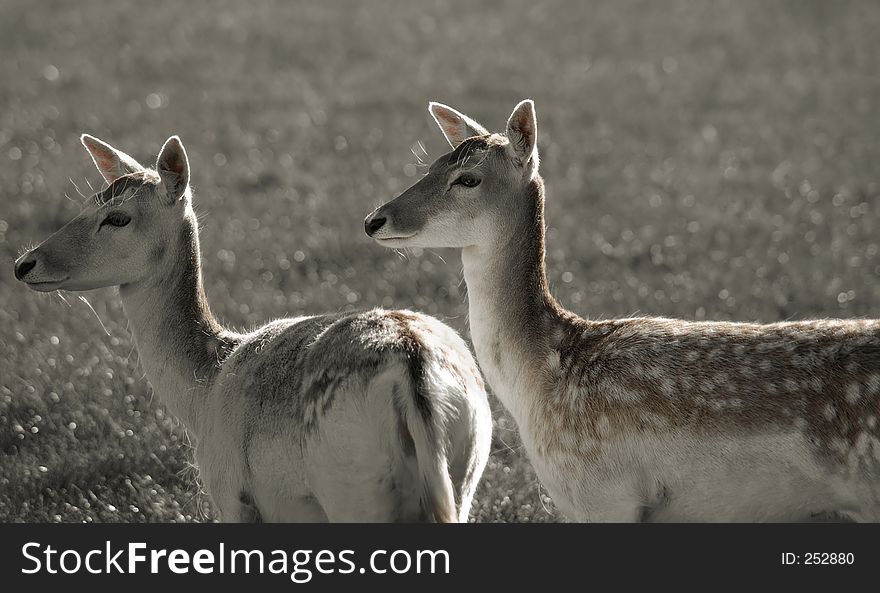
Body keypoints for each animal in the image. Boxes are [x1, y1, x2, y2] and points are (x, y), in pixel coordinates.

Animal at [13, 135, 492, 524]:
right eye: (88, 202)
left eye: (117, 218)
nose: (24, 264)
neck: (203, 393)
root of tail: (413, 364)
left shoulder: (232, 494)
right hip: (463, 471)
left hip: (355, 486)